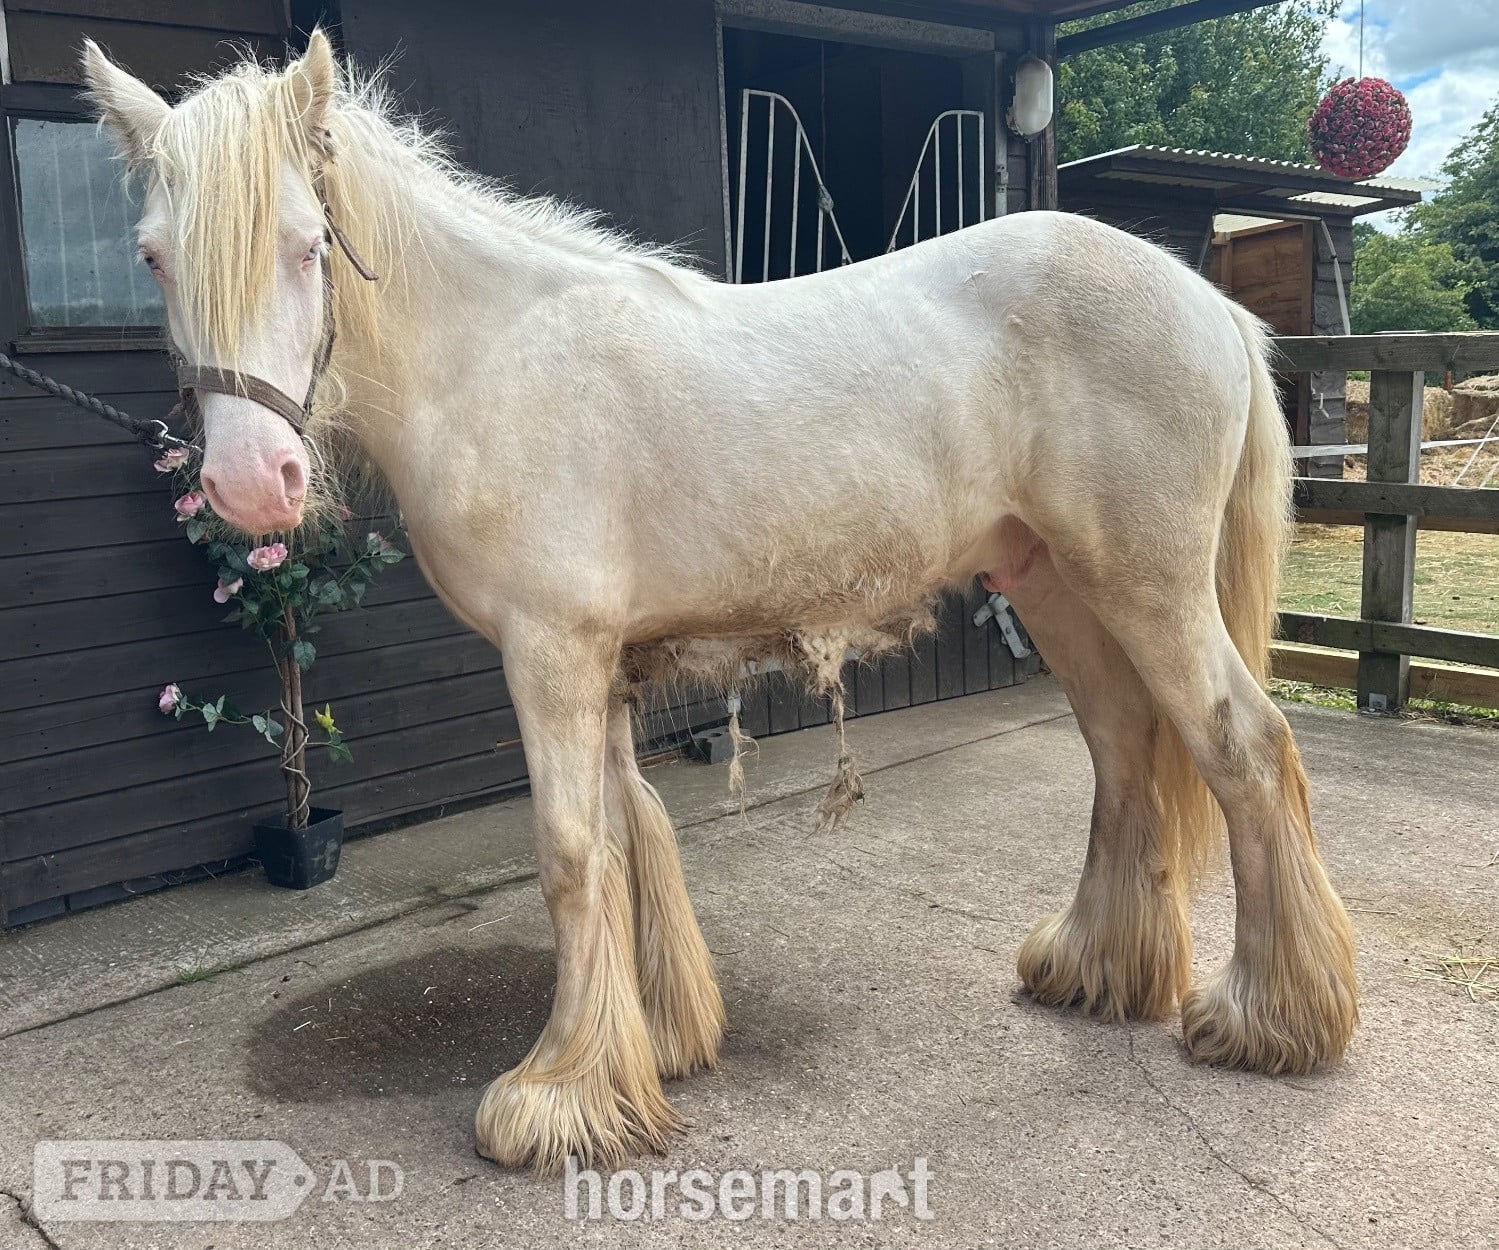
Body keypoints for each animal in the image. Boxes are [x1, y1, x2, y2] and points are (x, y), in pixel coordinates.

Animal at [83, 31, 1358, 1173]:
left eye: (307, 246)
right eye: (151, 259)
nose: (251, 483)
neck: (497, 358)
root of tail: (1204, 303)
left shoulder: (547, 653)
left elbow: (568, 852)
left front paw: (552, 1096)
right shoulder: (593, 659)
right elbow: (626, 833)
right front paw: (645, 1049)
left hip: (1144, 585)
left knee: (1240, 747)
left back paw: (1266, 1016)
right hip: (1054, 583)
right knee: (1122, 746)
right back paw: (1092, 968)